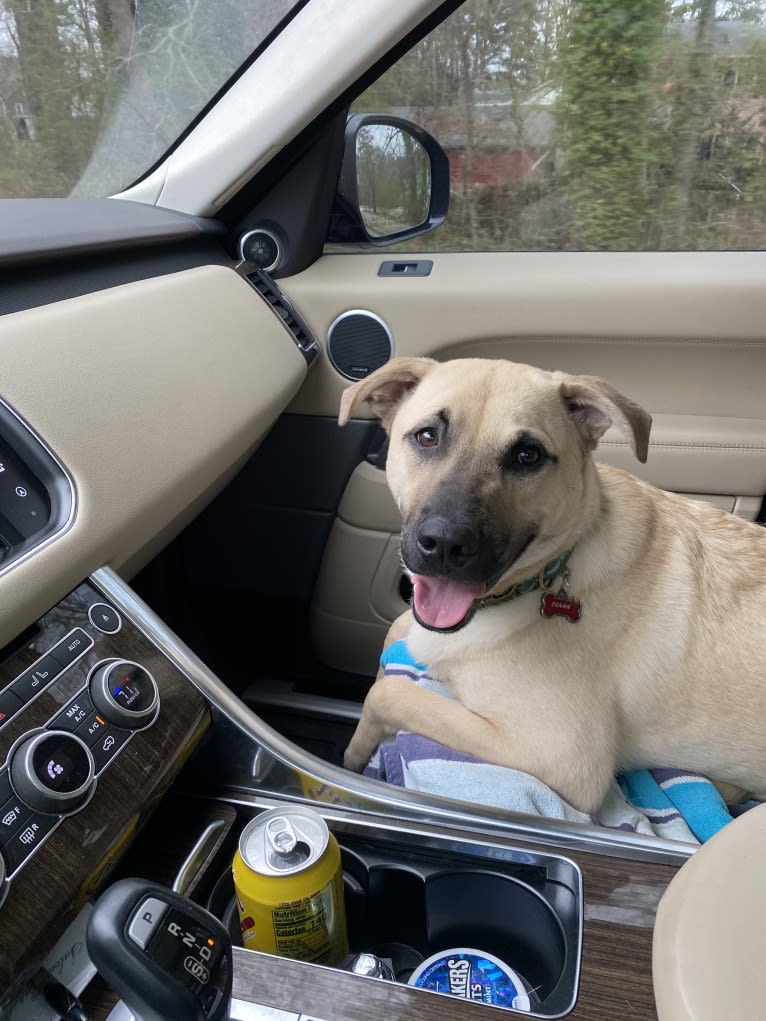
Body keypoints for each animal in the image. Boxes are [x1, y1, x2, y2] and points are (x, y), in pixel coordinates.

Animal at [339, 355, 766, 816]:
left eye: (528, 456)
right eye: (427, 436)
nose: (444, 545)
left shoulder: (561, 755)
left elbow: (387, 694)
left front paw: (353, 756)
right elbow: (394, 637)